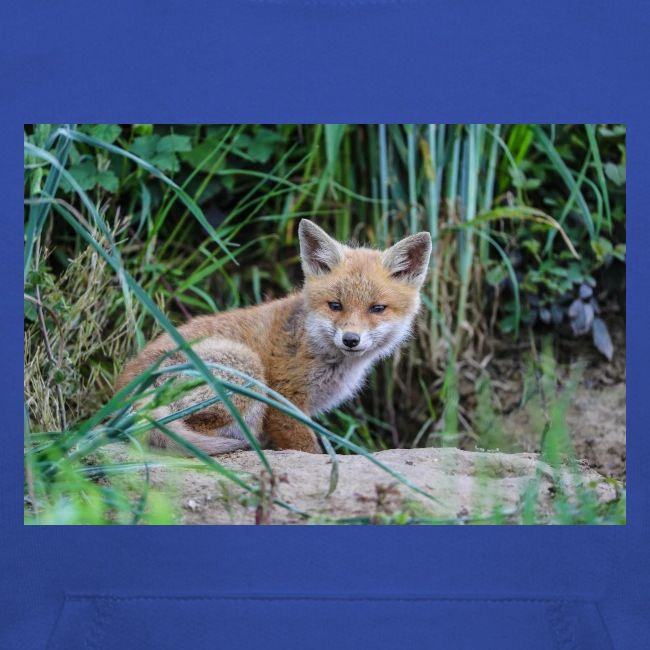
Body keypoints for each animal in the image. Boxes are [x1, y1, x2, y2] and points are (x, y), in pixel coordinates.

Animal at [116, 219, 432, 455]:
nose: (351, 339)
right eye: (335, 305)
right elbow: (307, 449)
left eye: (377, 309)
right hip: (246, 369)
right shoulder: (284, 400)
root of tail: (124, 394)